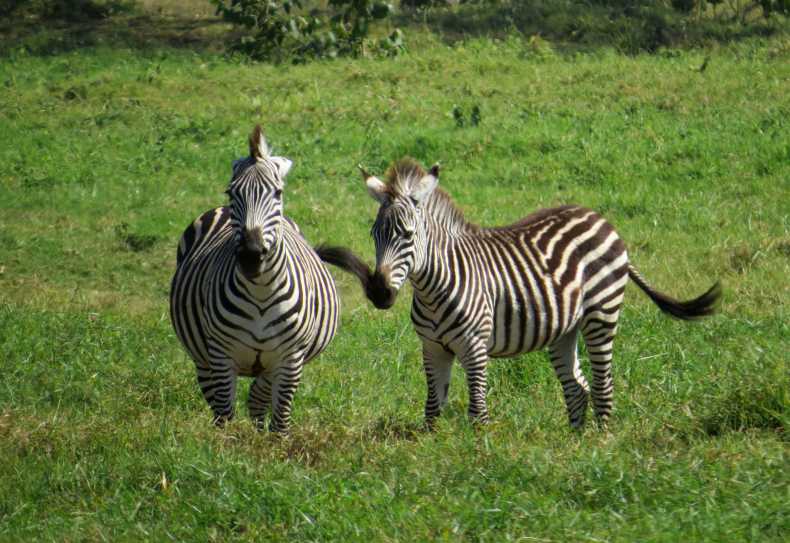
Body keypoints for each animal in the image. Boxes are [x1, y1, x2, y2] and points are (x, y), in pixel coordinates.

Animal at [169, 125, 339, 432]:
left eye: (278, 193)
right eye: (231, 192)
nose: (251, 255)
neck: (261, 290)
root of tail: (219, 210)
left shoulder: (290, 360)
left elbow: (280, 419)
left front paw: (272, 443)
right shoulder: (221, 355)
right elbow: (225, 414)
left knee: (257, 397)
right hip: (202, 359)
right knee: (218, 401)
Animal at [317, 158, 720, 429]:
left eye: (407, 235)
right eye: (374, 235)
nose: (379, 293)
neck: (432, 287)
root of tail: (600, 218)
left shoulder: (474, 346)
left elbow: (477, 411)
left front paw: (478, 459)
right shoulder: (432, 347)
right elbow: (432, 408)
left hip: (601, 314)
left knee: (604, 385)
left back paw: (603, 442)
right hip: (565, 328)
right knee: (577, 387)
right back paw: (578, 446)